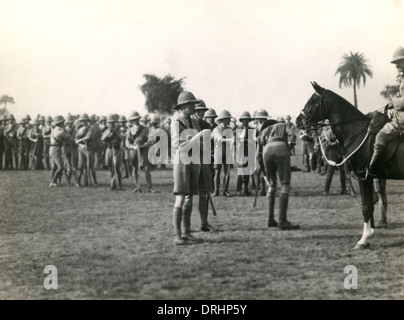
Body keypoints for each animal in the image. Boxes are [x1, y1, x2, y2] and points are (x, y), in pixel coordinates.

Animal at [296, 82, 402, 250]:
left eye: (312, 101)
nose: (298, 121)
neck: (356, 131)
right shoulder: (368, 178)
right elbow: (369, 203)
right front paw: (370, 233)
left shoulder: (363, 177)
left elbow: (366, 206)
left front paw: (363, 239)